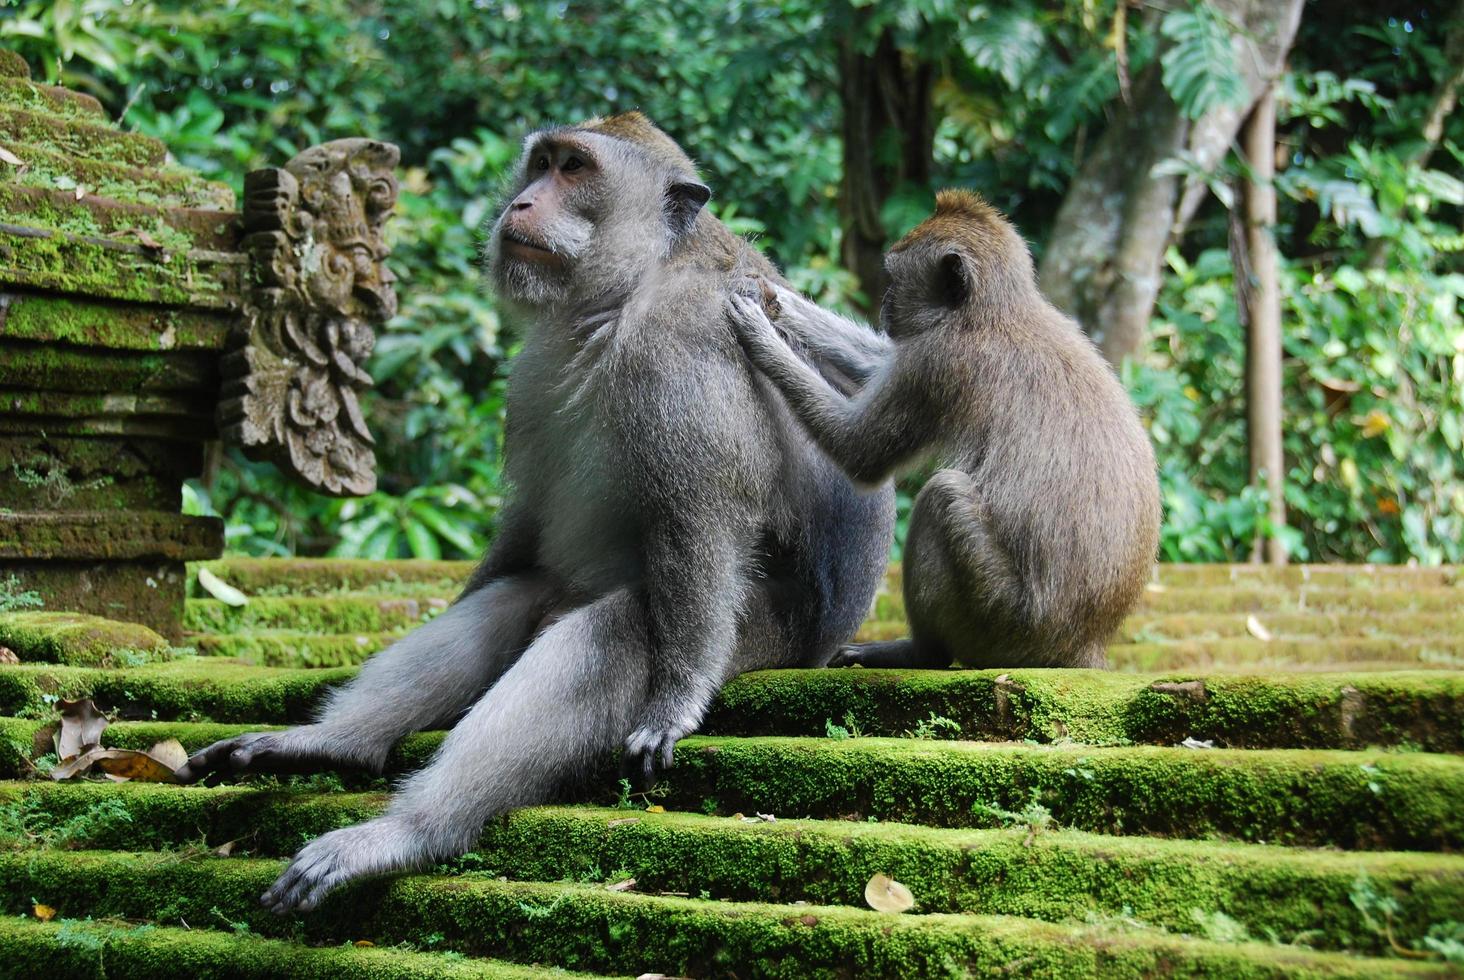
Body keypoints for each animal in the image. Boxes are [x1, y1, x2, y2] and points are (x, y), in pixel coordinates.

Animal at [171, 116, 890, 919]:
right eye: (540, 163)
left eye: (574, 168)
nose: (521, 203)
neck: (625, 293)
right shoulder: (535, 369)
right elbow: (527, 522)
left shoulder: (682, 344)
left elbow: (699, 521)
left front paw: (676, 702)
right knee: (514, 598)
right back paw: (336, 744)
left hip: (777, 634)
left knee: (617, 630)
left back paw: (414, 831)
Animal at [726, 187, 1159, 667]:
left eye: (895, 279)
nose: (884, 303)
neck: (992, 312)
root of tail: (1084, 645)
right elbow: (881, 362)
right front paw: (772, 298)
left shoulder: (938, 363)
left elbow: (861, 452)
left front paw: (759, 335)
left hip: (999, 621)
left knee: (942, 495)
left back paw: (918, 651)